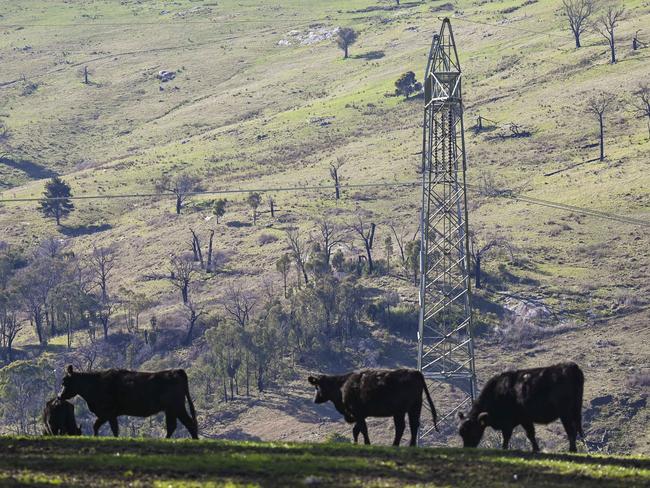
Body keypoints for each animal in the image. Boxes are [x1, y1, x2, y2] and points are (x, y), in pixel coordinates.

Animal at [59, 362, 199, 438]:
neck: (95, 383)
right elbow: (112, 428)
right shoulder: (111, 415)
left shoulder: (107, 412)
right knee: (173, 426)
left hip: (177, 407)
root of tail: (177, 371)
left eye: (64, 382)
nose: (60, 396)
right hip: (170, 410)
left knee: (189, 424)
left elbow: (97, 425)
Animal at [306, 370, 438, 446]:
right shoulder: (360, 414)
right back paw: (409, 445)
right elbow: (356, 430)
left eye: (317, 386)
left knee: (403, 427)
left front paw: (367, 443)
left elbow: (363, 429)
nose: (314, 399)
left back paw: (397, 445)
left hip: (401, 410)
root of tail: (415, 372)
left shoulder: (357, 412)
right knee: (412, 425)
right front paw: (355, 444)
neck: (341, 386)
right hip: (414, 407)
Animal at [456, 360, 584, 452]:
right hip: (576, 409)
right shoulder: (524, 420)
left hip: (565, 413)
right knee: (578, 428)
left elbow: (509, 436)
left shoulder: (513, 422)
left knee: (571, 430)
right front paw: (536, 449)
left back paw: (572, 450)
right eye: (461, 433)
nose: (467, 448)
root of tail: (570, 366)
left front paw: (504, 449)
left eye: (472, 431)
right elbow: (530, 435)